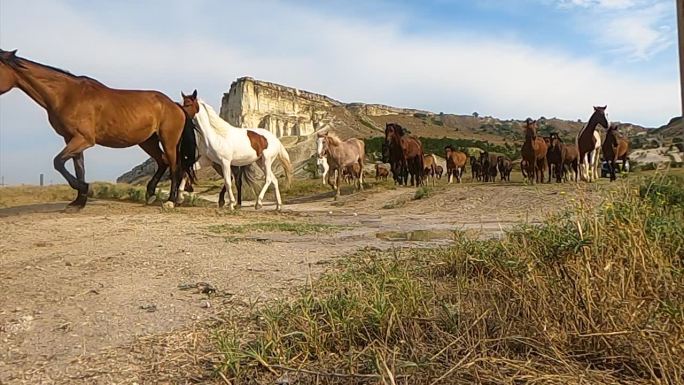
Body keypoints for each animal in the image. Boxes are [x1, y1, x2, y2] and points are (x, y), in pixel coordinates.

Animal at [0, 50, 195, 210]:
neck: (67, 95)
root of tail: (175, 105)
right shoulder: (71, 139)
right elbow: (78, 169)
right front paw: (78, 202)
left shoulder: (83, 139)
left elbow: (58, 162)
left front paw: (84, 189)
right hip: (148, 141)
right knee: (162, 162)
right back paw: (152, 195)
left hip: (168, 140)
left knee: (174, 166)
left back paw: (171, 201)